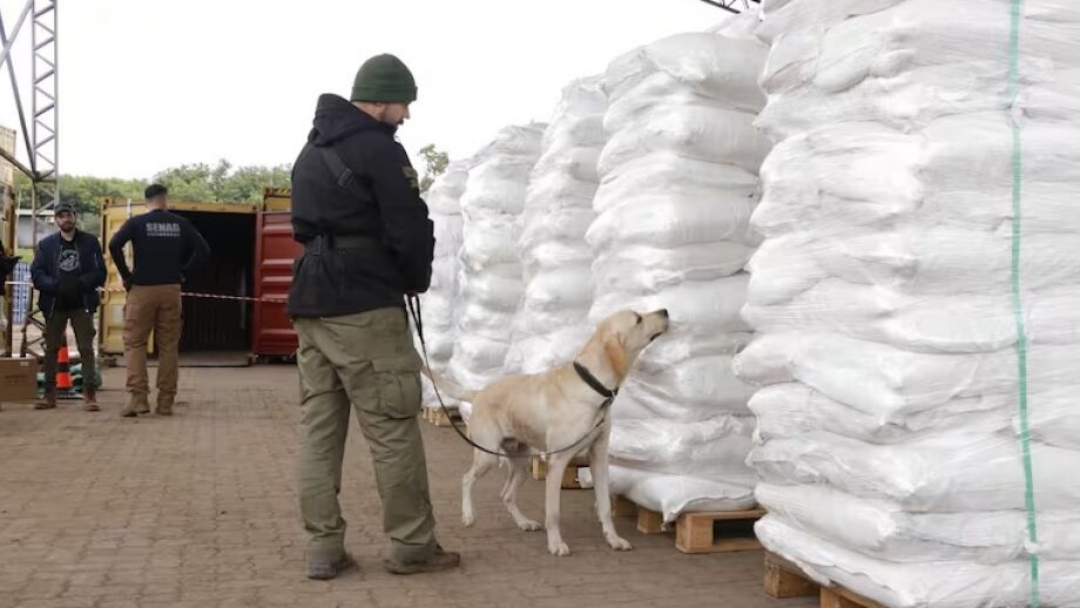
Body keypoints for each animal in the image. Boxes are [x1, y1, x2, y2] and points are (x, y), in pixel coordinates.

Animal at [423, 308, 660, 557]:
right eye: (638, 319)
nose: (665, 312)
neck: (591, 384)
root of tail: (479, 392)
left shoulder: (598, 457)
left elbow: (605, 506)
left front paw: (613, 539)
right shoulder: (557, 461)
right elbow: (553, 512)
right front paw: (555, 544)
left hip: (521, 464)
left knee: (506, 495)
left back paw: (524, 522)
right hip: (487, 456)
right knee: (467, 478)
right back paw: (469, 515)